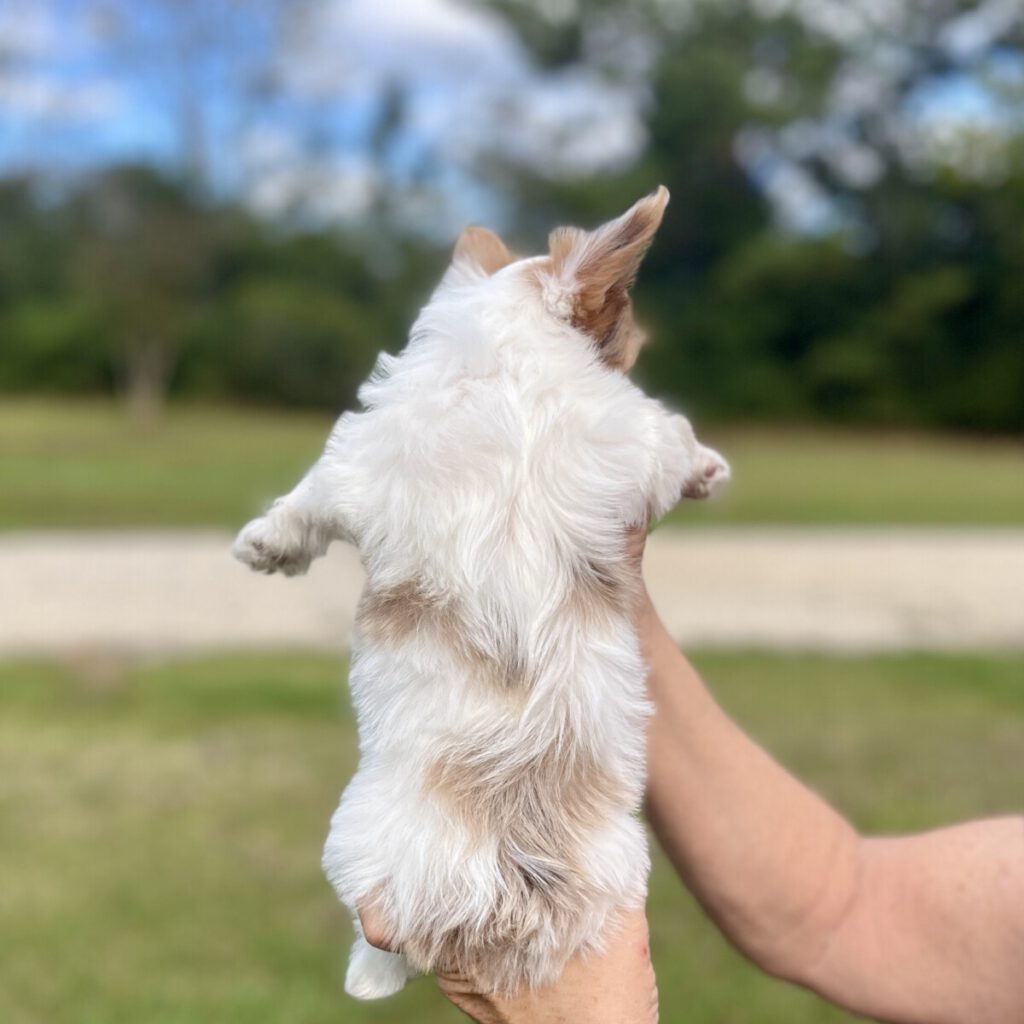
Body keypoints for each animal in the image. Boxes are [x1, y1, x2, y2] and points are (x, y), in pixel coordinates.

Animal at [234, 186, 729, 999]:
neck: (512, 359)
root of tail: (500, 901)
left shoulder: (356, 461)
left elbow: (308, 495)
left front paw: (266, 543)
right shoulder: (631, 439)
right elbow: (673, 436)